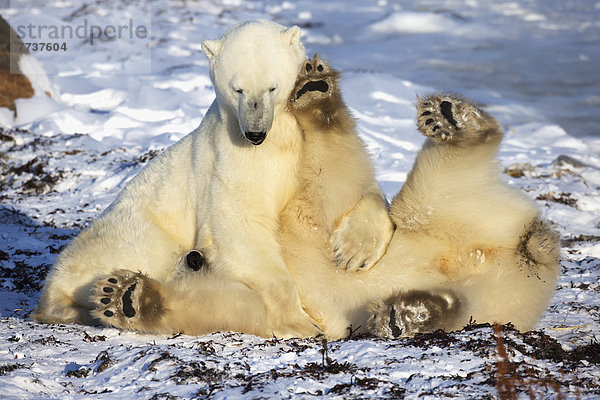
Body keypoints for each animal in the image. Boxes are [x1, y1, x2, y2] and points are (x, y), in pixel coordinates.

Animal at [36, 18, 398, 338]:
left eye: (272, 86)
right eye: (237, 88)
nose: (255, 133)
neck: (276, 137)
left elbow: (359, 189)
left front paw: (353, 253)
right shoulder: (236, 159)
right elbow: (241, 224)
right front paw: (299, 322)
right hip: (136, 233)